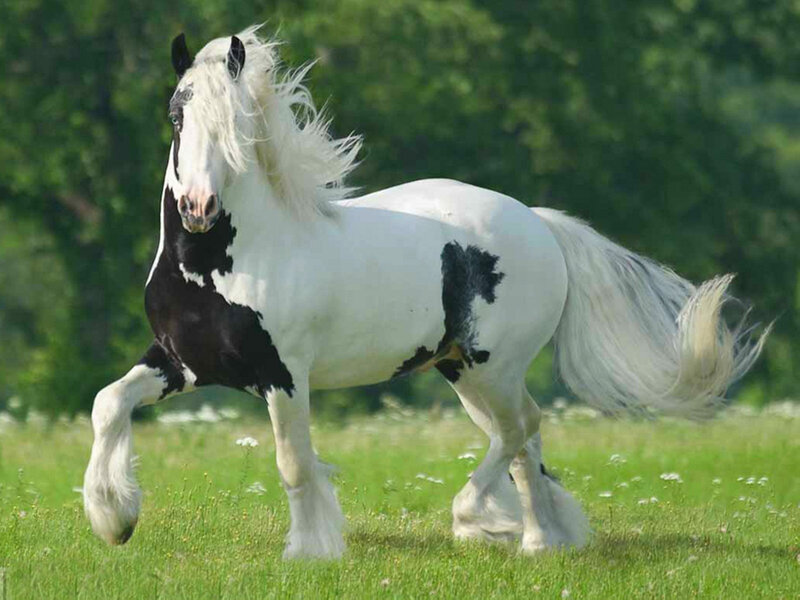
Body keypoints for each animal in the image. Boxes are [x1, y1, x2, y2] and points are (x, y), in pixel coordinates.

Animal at [83, 26, 768, 559]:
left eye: (238, 123)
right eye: (176, 113)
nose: (198, 209)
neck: (218, 263)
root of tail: (538, 221)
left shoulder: (284, 375)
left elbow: (295, 463)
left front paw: (311, 553)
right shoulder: (181, 362)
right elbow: (107, 403)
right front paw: (114, 518)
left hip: (492, 366)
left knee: (520, 428)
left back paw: (482, 522)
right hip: (462, 369)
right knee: (522, 439)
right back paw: (538, 541)